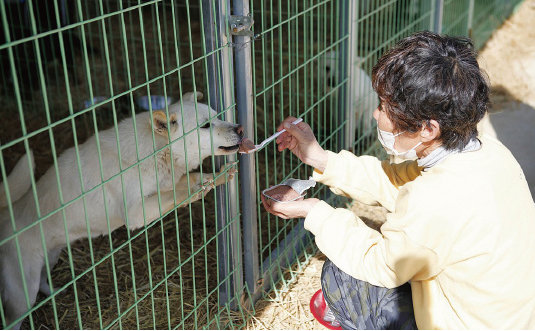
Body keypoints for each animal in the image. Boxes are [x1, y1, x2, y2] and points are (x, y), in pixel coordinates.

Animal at [0, 91, 245, 330]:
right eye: (205, 125)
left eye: (218, 116)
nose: (240, 129)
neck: (156, 150)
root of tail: (6, 216)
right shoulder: (136, 212)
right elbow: (177, 193)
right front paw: (196, 191)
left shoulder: (165, 182)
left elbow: (194, 177)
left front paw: (220, 176)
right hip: (22, 293)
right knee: (15, 318)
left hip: (49, 259)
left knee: (43, 282)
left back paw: (56, 292)